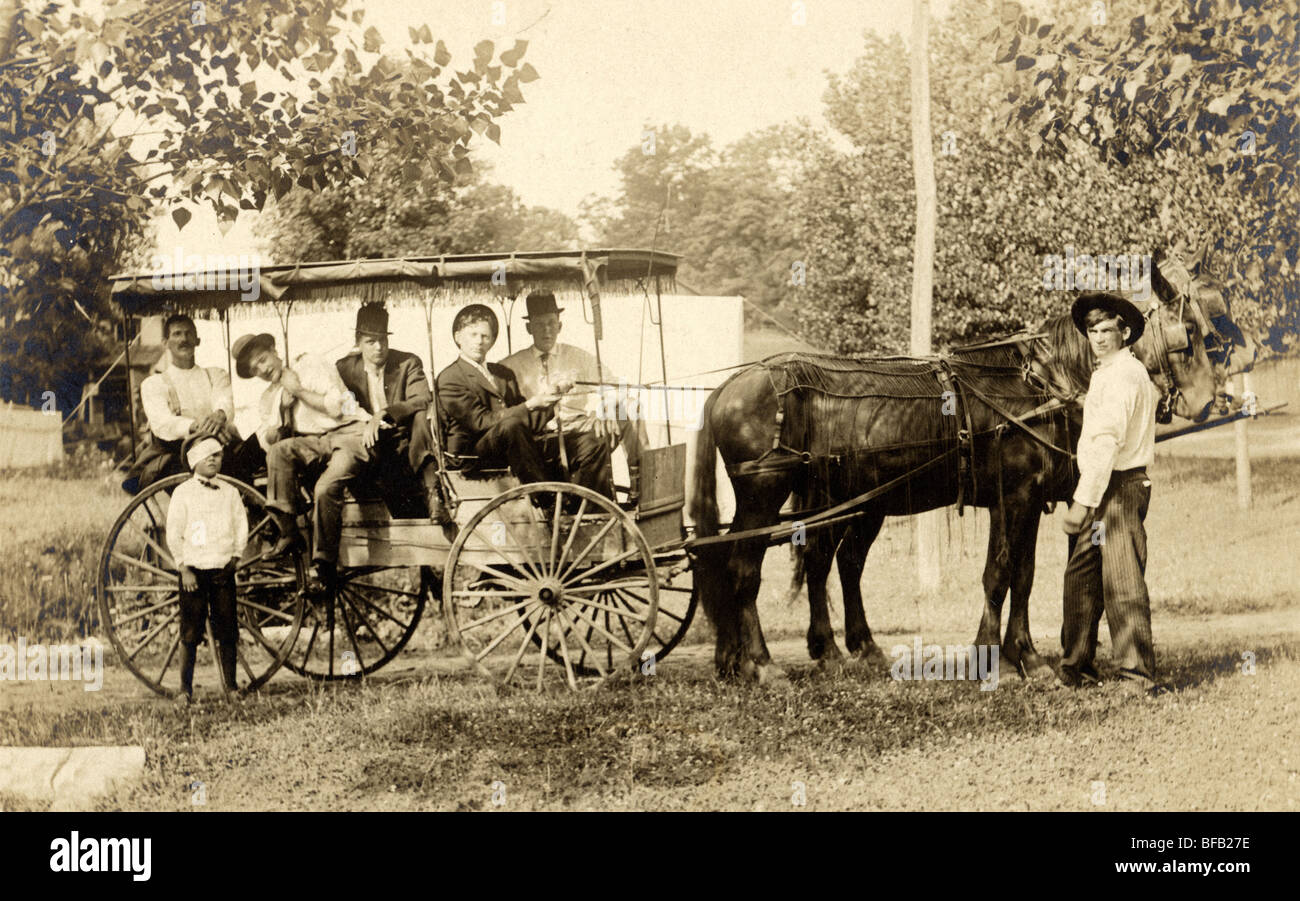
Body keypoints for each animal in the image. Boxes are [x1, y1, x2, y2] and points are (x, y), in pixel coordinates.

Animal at [696, 291, 1222, 676]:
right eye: (1190, 333)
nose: (1208, 401)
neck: (1038, 386)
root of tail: (725, 391)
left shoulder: (1025, 502)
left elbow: (1024, 574)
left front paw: (1024, 655)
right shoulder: (1013, 499)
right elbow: (1000, 573)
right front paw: (996, 659)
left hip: (845, 500)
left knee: (827, 562)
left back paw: (822, 652)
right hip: (764, 498)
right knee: (743, 566)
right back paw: (761, 663)